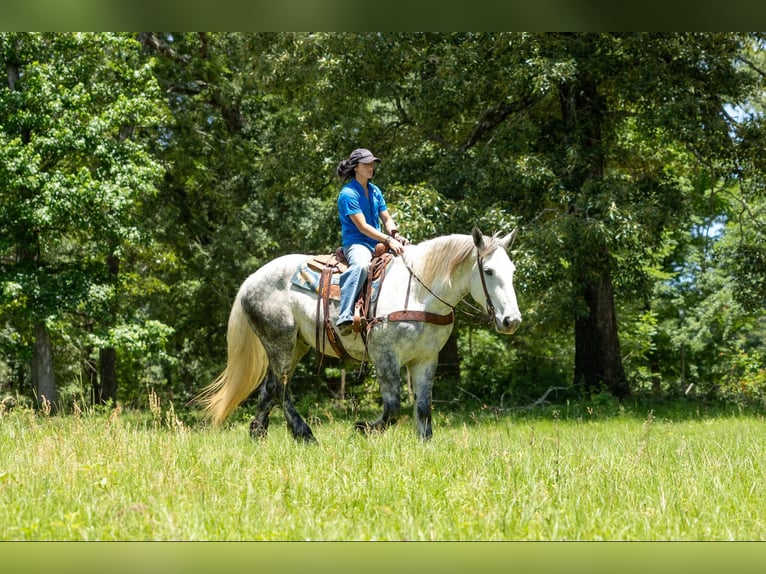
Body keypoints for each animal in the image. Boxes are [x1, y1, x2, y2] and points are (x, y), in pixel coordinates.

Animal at [196, 227, 521, 442]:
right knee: (282, 390)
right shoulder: (384, 355)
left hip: (295, 345)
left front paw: (424, 445)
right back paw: (305, 435)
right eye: (489, 271)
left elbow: (423, 408)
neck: (419, 292)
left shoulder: (426, 359)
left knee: (270, 388)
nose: (511, 320)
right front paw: (363, 428)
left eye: (513, 271)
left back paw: (258, 435)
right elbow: (392, 407)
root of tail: (250, 281)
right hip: (281, 343)